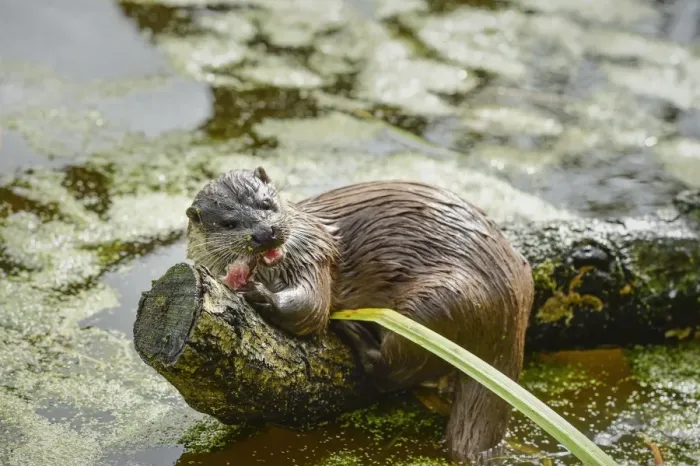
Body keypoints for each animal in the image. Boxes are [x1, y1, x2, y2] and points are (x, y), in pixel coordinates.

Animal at [185, 167, 534, 463]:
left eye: (267, 203)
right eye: (229, 223)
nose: (266, 232)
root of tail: (512, 304)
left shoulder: (310, 254)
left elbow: (311, 309)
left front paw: (256, 292)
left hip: (439, 301)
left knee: (392, 370)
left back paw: (356, 331)